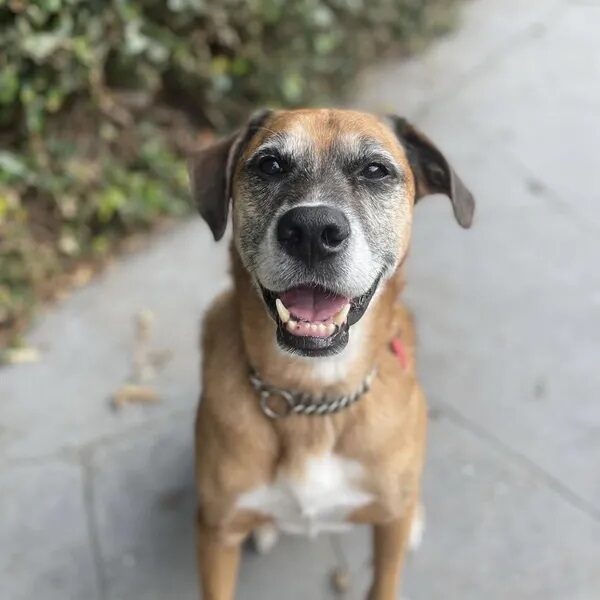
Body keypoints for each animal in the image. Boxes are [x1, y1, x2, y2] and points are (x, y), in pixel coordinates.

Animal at [188, 109, 474, 600]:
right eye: (269, 165)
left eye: (376, 170)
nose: (311, 232)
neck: (313, 395)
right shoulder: (215, 530)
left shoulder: (387, 528)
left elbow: (385, 581)